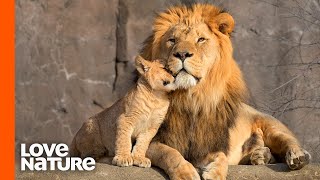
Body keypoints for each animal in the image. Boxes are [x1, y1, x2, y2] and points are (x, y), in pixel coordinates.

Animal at [69, 3, 310, 180]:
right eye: (172, 40)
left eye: (201, 39)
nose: (182, 54)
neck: (191, 98)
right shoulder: (156, 139)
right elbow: (170, 153)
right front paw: (186, 173)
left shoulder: (209, 142)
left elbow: (221, 157)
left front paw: (215, 173)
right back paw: (261, 155)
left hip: (270, 123)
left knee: (288, 141)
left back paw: (297, 157)